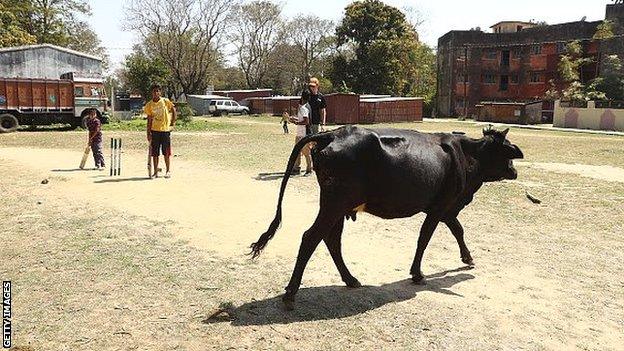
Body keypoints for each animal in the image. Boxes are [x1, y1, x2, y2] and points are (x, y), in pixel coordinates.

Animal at [249, 125, 520, 310]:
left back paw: (350, 279)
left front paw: (467, 257)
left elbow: (458, 229)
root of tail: (332, 134)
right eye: (506, 153)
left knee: (331, 239)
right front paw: (418, 274)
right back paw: (291, 294)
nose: (515, 171)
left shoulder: (444, 209)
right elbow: (425, 238)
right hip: (335, 203)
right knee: (311, 238)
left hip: (337, 206)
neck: (467, 154)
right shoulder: (440, 206)